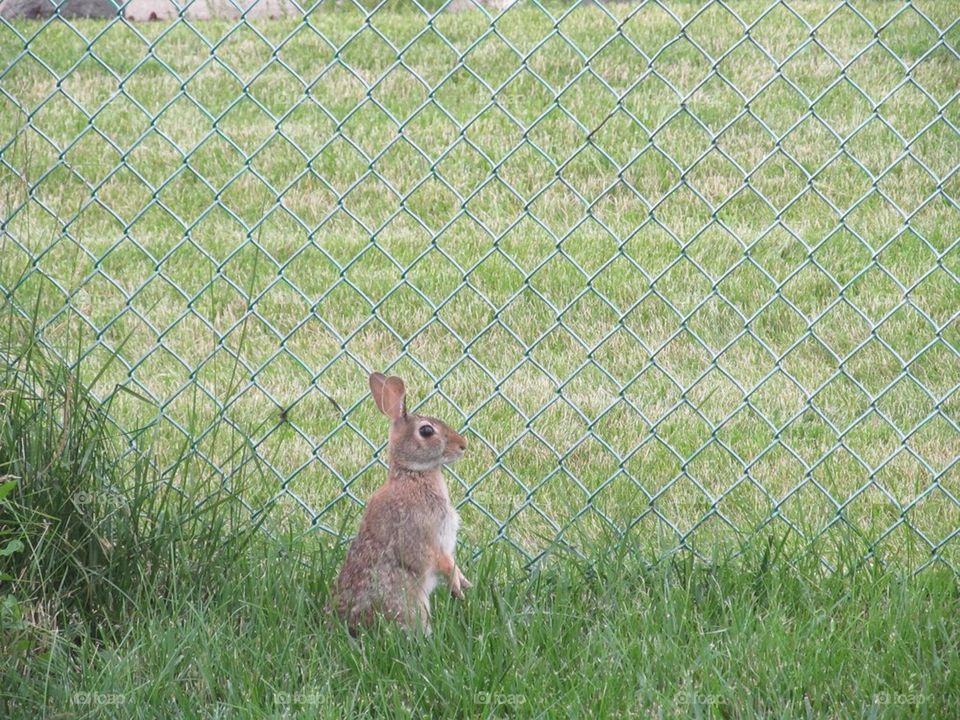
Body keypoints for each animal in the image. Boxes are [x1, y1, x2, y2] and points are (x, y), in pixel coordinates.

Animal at [331, 372, 471, 634]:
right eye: (426, 431)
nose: (463, 445)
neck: (411, 474)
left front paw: (463, 583)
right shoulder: (425, 535)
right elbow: (440, 560)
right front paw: (457, 585)